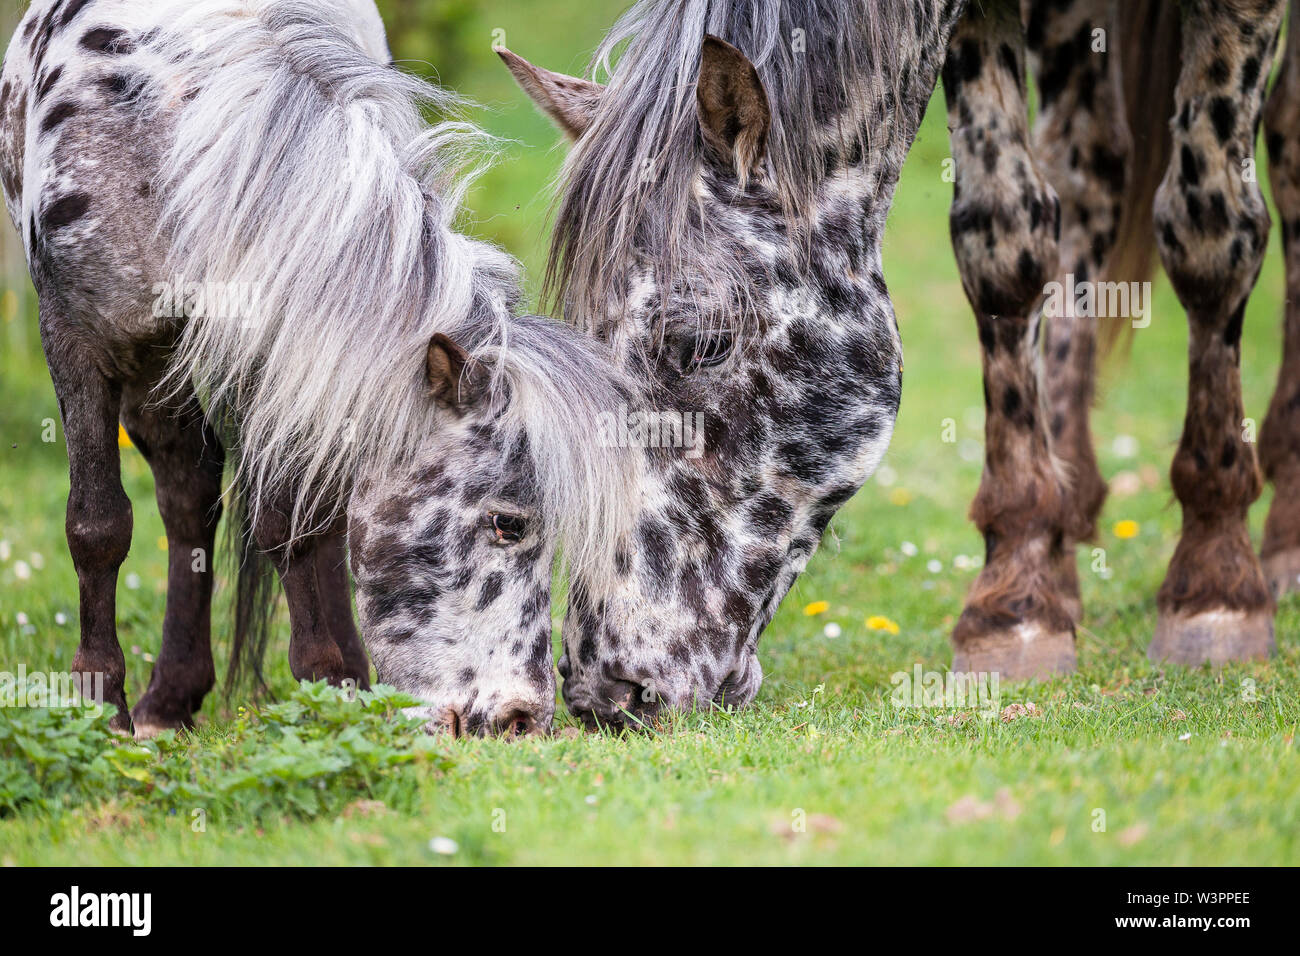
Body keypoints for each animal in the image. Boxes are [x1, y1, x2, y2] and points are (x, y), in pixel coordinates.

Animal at [0, 0, 638, 737]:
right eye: (507, 522)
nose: (522, 718)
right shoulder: (78, 340)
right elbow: (98, 525)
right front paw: (101, 704)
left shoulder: (286, 352)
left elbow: (294, 525)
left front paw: (330, 684)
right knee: (186, 495)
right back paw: (166, 700)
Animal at [500, 0, 1298, 724]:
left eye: (699, 345)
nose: (602, 690)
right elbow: (1005, 240)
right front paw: (1018, 594)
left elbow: (1209, 233)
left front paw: (1216, 583)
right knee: (1088, 177)